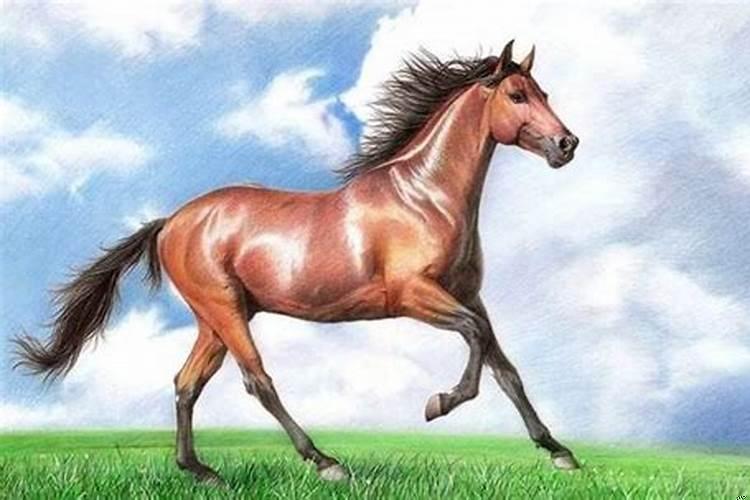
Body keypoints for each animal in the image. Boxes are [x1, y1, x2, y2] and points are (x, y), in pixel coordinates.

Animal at [13, 40, 580, 484]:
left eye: (544, 94)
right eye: (517, 95)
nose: (566, 144)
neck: (424, 197)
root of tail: (172, 221)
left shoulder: (469, 296)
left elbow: (505, 369)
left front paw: (559, 452)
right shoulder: (415, 296)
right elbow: (475, 342)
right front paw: (438, 403)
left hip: (215, 320)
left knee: (187, 383)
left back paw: (200, 471)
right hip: (225, 311)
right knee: (257, 380)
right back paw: (325, 462)